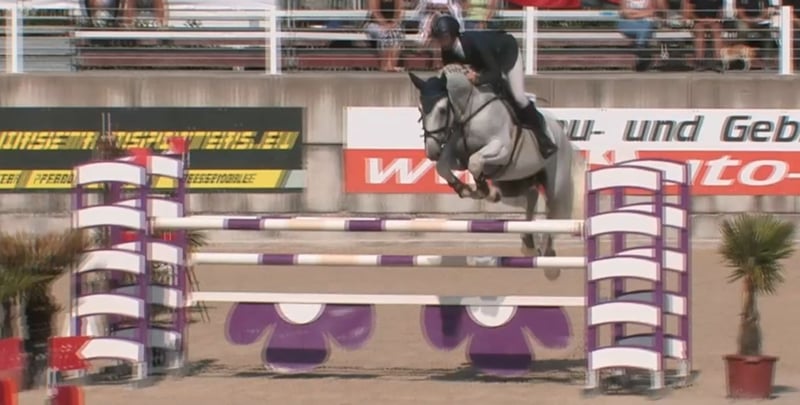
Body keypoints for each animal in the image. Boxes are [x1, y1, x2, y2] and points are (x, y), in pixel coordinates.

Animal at [408, 65, 587, 279]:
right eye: (420, 109)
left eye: (442, 110)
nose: (432, 151)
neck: (470, 112)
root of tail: (564, 137)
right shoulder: (456, 157)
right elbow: (443, 166)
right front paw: (466, 189)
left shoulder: (500, 149)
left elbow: (475, 161)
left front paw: (484, 191)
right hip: (515, 183)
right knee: (531, 196)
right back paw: (528, 243)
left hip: (555, 184)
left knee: (553, 215)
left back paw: (550, 262)